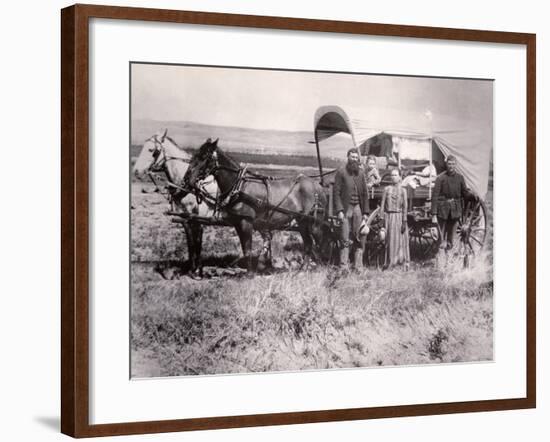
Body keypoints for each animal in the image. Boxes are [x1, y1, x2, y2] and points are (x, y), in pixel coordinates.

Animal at [134, 127, 220, 272]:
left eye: (152, 150)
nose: (136, 171)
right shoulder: (184, 216)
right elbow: (190, 242)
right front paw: (191, 268)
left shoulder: (199, 217)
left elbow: (198, 241)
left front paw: (198, 269)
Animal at [183, 139, 330, 270]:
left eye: (204, 157)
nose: (186, 179)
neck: (239, 186)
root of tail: (318, 186)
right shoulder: (238, 223)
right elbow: (245, 249)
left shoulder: (246, 222)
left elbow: (248, 249)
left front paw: (250, 273)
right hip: (302, 222)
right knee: (308, 243)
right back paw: (303, 269)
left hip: (315, 223)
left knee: (321, 243)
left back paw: (324, 267)